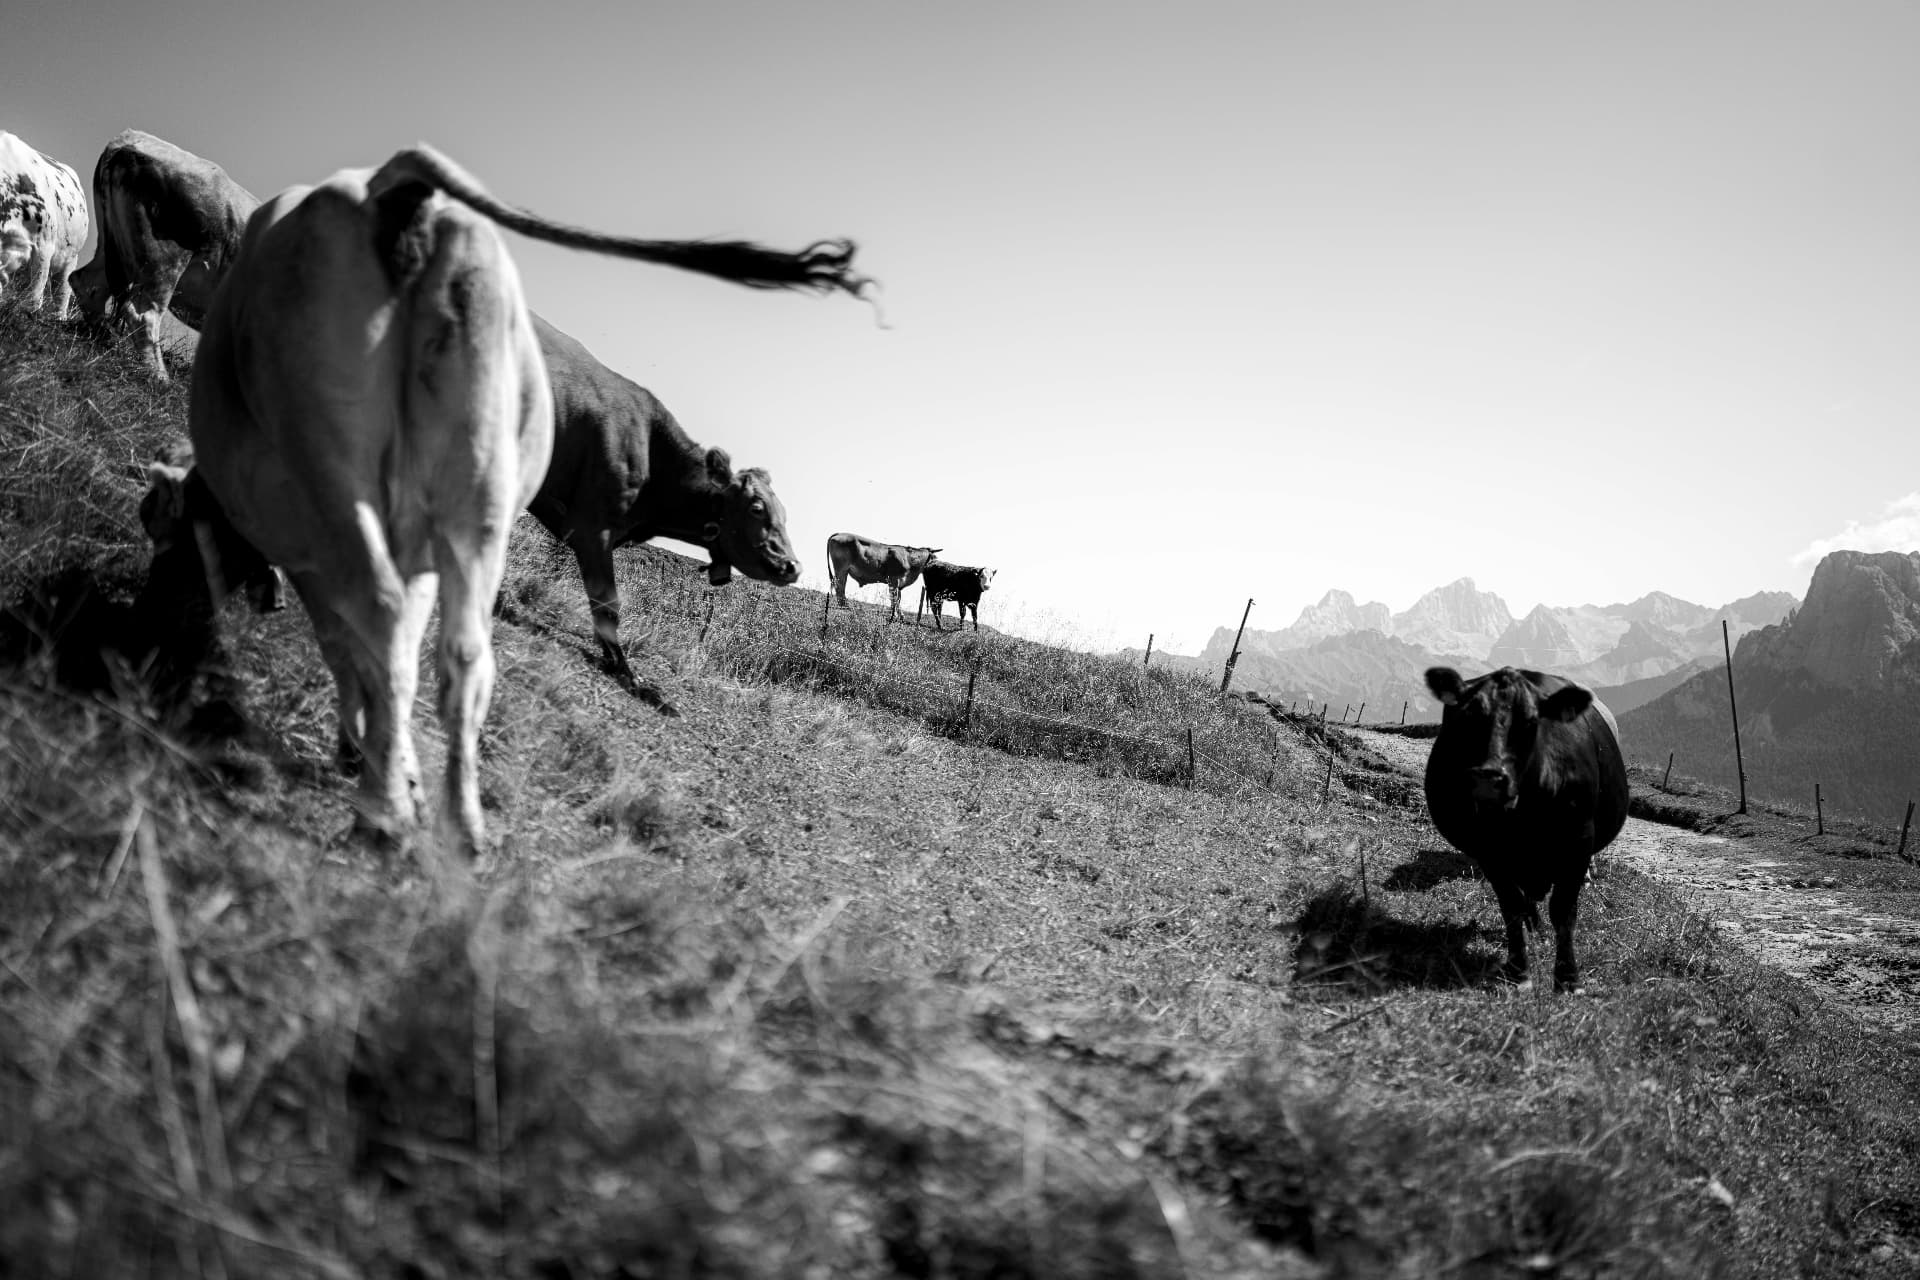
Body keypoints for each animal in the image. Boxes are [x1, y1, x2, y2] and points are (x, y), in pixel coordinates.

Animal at [68, 130, 259, 381]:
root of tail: (129, 140)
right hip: (163, 260)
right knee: (142, 313)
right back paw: (159, 378)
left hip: (114, 246)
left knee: (88, 283)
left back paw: (104, 337)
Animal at [1423, 666, 1629, 993]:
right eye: (1469, 716)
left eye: (1531, 722)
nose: (1489, 778)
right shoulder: (1488, 850)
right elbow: (1512, 906)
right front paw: (1518, 971)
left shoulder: (1578, 843)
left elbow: (1563, 910)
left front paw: (1568, 979)